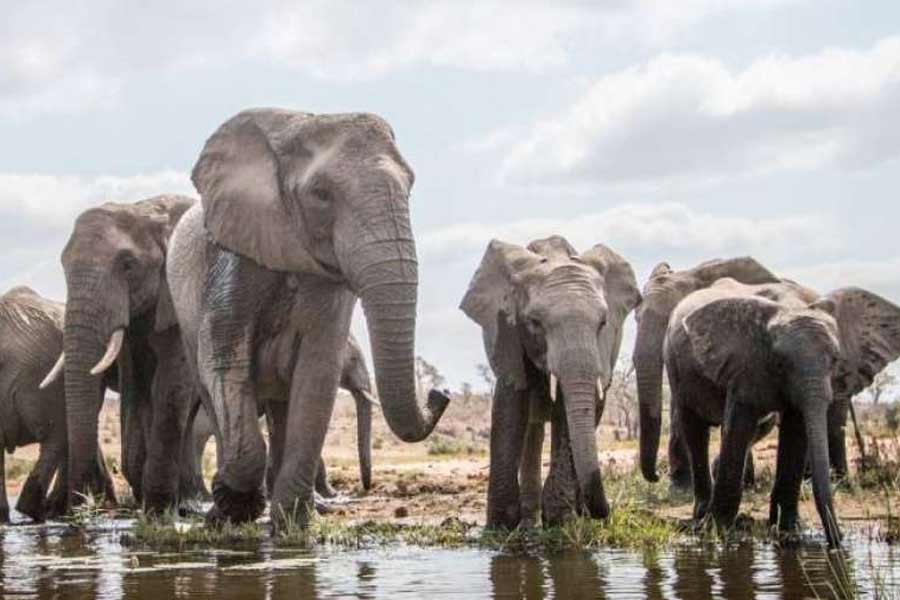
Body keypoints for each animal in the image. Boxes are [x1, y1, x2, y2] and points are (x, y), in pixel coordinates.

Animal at [42, 194, 196, 513]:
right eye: (63, 264)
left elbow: (169, 385)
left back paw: (189, 501)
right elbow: (134, 388)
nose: (83, 504)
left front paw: (158, 508)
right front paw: (146, 499)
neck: (146, 210)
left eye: (128, 265)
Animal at [460, 236, 641, 528]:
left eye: (603, 323)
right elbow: (511, 405)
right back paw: (529, 521)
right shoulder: (508, 333)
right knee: (532, 428)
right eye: (535, 322)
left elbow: (572, 412)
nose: (605, 512)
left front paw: (560, 519)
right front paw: (500, 527)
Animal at [665, 280, 900, 546]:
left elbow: (796, 433)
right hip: (676, 367)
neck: (791, 306)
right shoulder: (746, 364)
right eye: (780, 362)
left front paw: (789, 533)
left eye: (836, 360)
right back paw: (702, 515)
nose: (837, 543)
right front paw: (718, 535)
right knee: (694, 430)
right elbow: (738, 429)